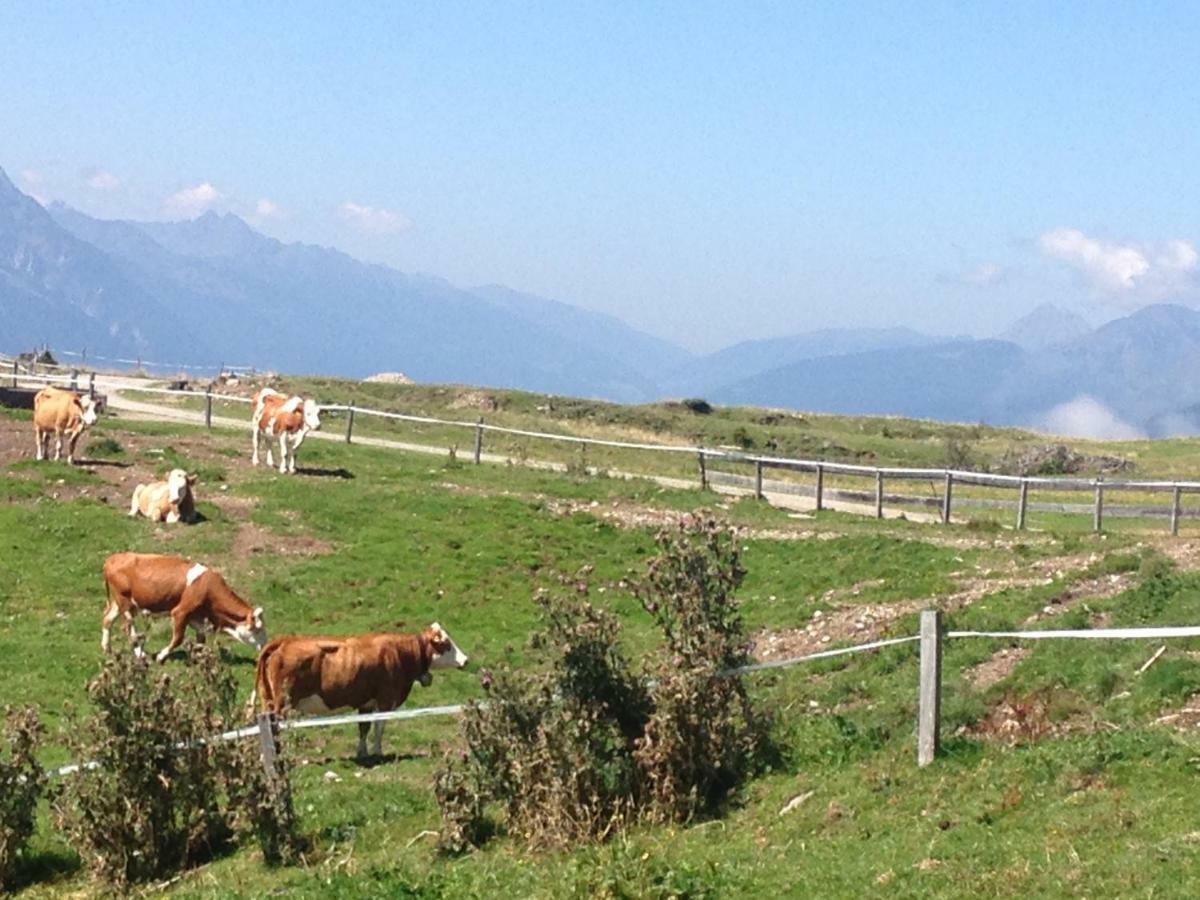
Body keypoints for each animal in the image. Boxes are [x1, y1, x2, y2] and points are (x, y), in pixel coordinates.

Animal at [101, 549, 267, 662]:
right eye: (258, 629)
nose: (264, 646)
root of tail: (112, 558)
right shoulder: (180, 612)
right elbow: (178, 638)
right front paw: (161, 656)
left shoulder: (196, 616)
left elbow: (201, 638)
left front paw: (200, 658)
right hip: (126, 603)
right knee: (129, 629)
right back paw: (140, 654)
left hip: (119, 602)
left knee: (107, 619)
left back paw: (106, 648)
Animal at [256, 628, 468, 763]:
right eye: (446, 644)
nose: (465, 660)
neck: (400, 653)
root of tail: (284, 641)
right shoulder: (385, 699)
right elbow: (379, 726)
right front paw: (378, 751)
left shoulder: (366, 703)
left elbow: (363, 727)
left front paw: (362, 752)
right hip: (282, 704)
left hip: (268, 701)